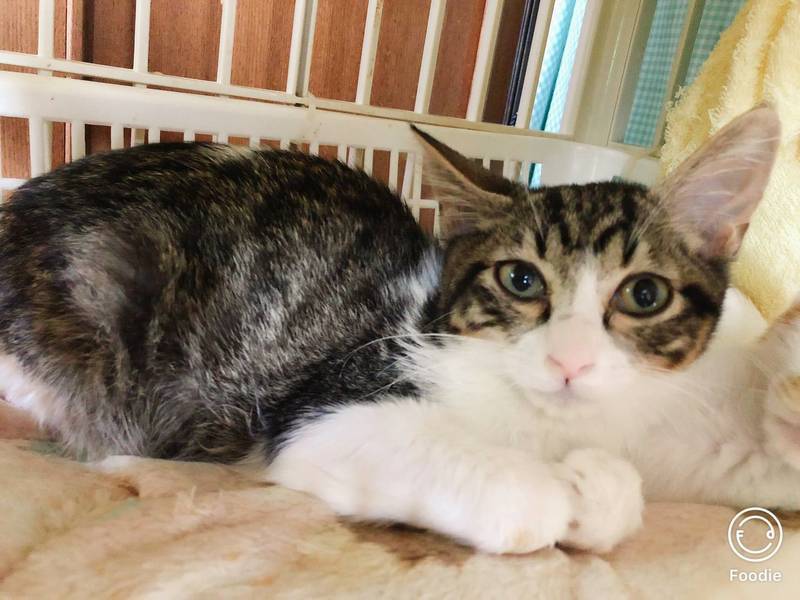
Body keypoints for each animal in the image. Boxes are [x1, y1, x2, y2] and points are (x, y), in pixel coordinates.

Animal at [1, 104, 799, 555]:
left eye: (644, 294)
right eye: (521, 281)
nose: (569, 362)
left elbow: (625, 490)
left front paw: (596, 487)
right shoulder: (329, 407)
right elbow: (517, 495)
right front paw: (556, 494)